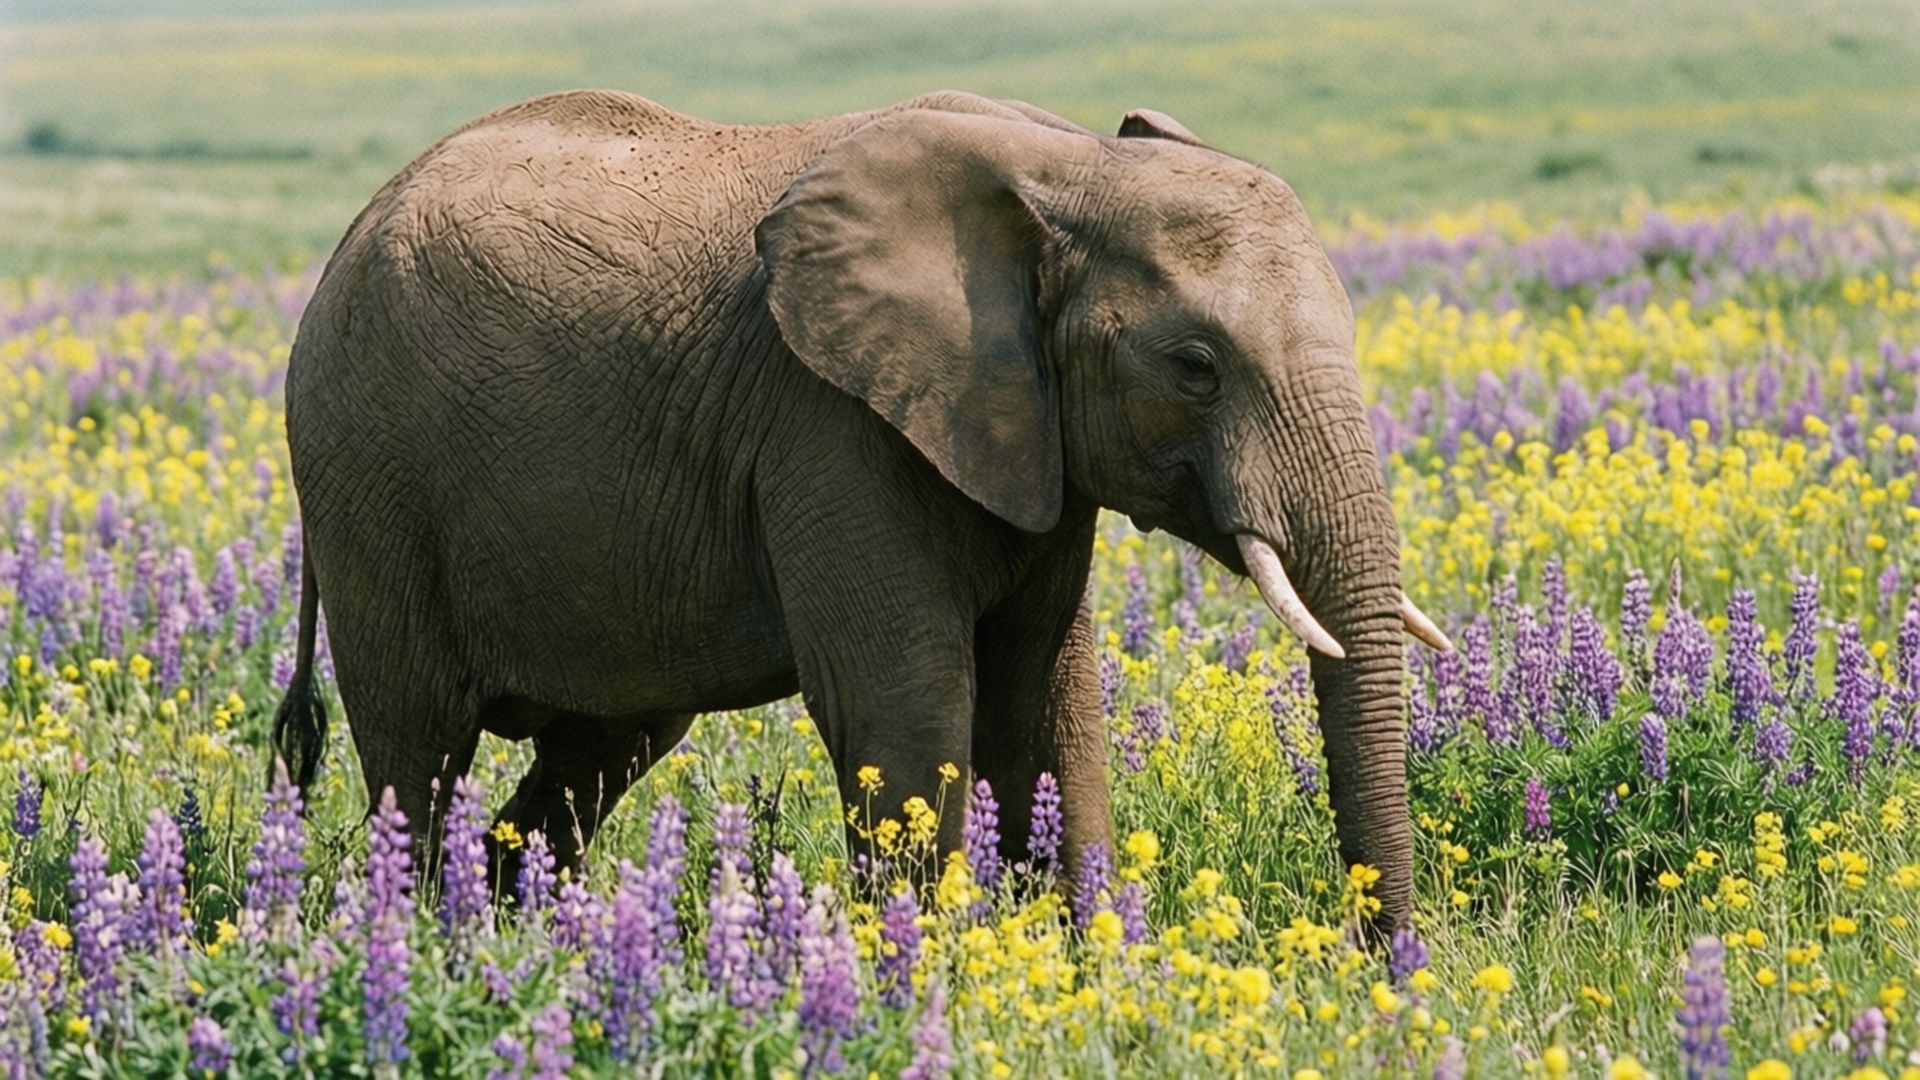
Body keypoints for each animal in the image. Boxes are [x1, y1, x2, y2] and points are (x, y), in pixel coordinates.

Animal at [272, 88, 1450, 929]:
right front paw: (929, 984)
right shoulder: (830, 422)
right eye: (1196, 366)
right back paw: (429, 947)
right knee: (419, 751)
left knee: (592, 755)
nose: (1381, 964)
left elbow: (1047, 708)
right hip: (367, 479)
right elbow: (905, 709)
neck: (1066, 166)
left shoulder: (1028, 437)